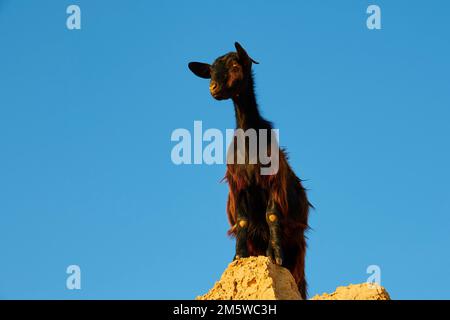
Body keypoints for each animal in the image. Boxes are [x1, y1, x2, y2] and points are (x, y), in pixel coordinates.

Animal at [188, 42, 312, 298]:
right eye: (211, 71)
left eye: (236, 65)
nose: (213, 88)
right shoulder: (240, 185)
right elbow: (243, 222)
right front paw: (238, 257)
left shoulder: (273, 182)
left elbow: (272, 215)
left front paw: (276, 258)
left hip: (298, 245)